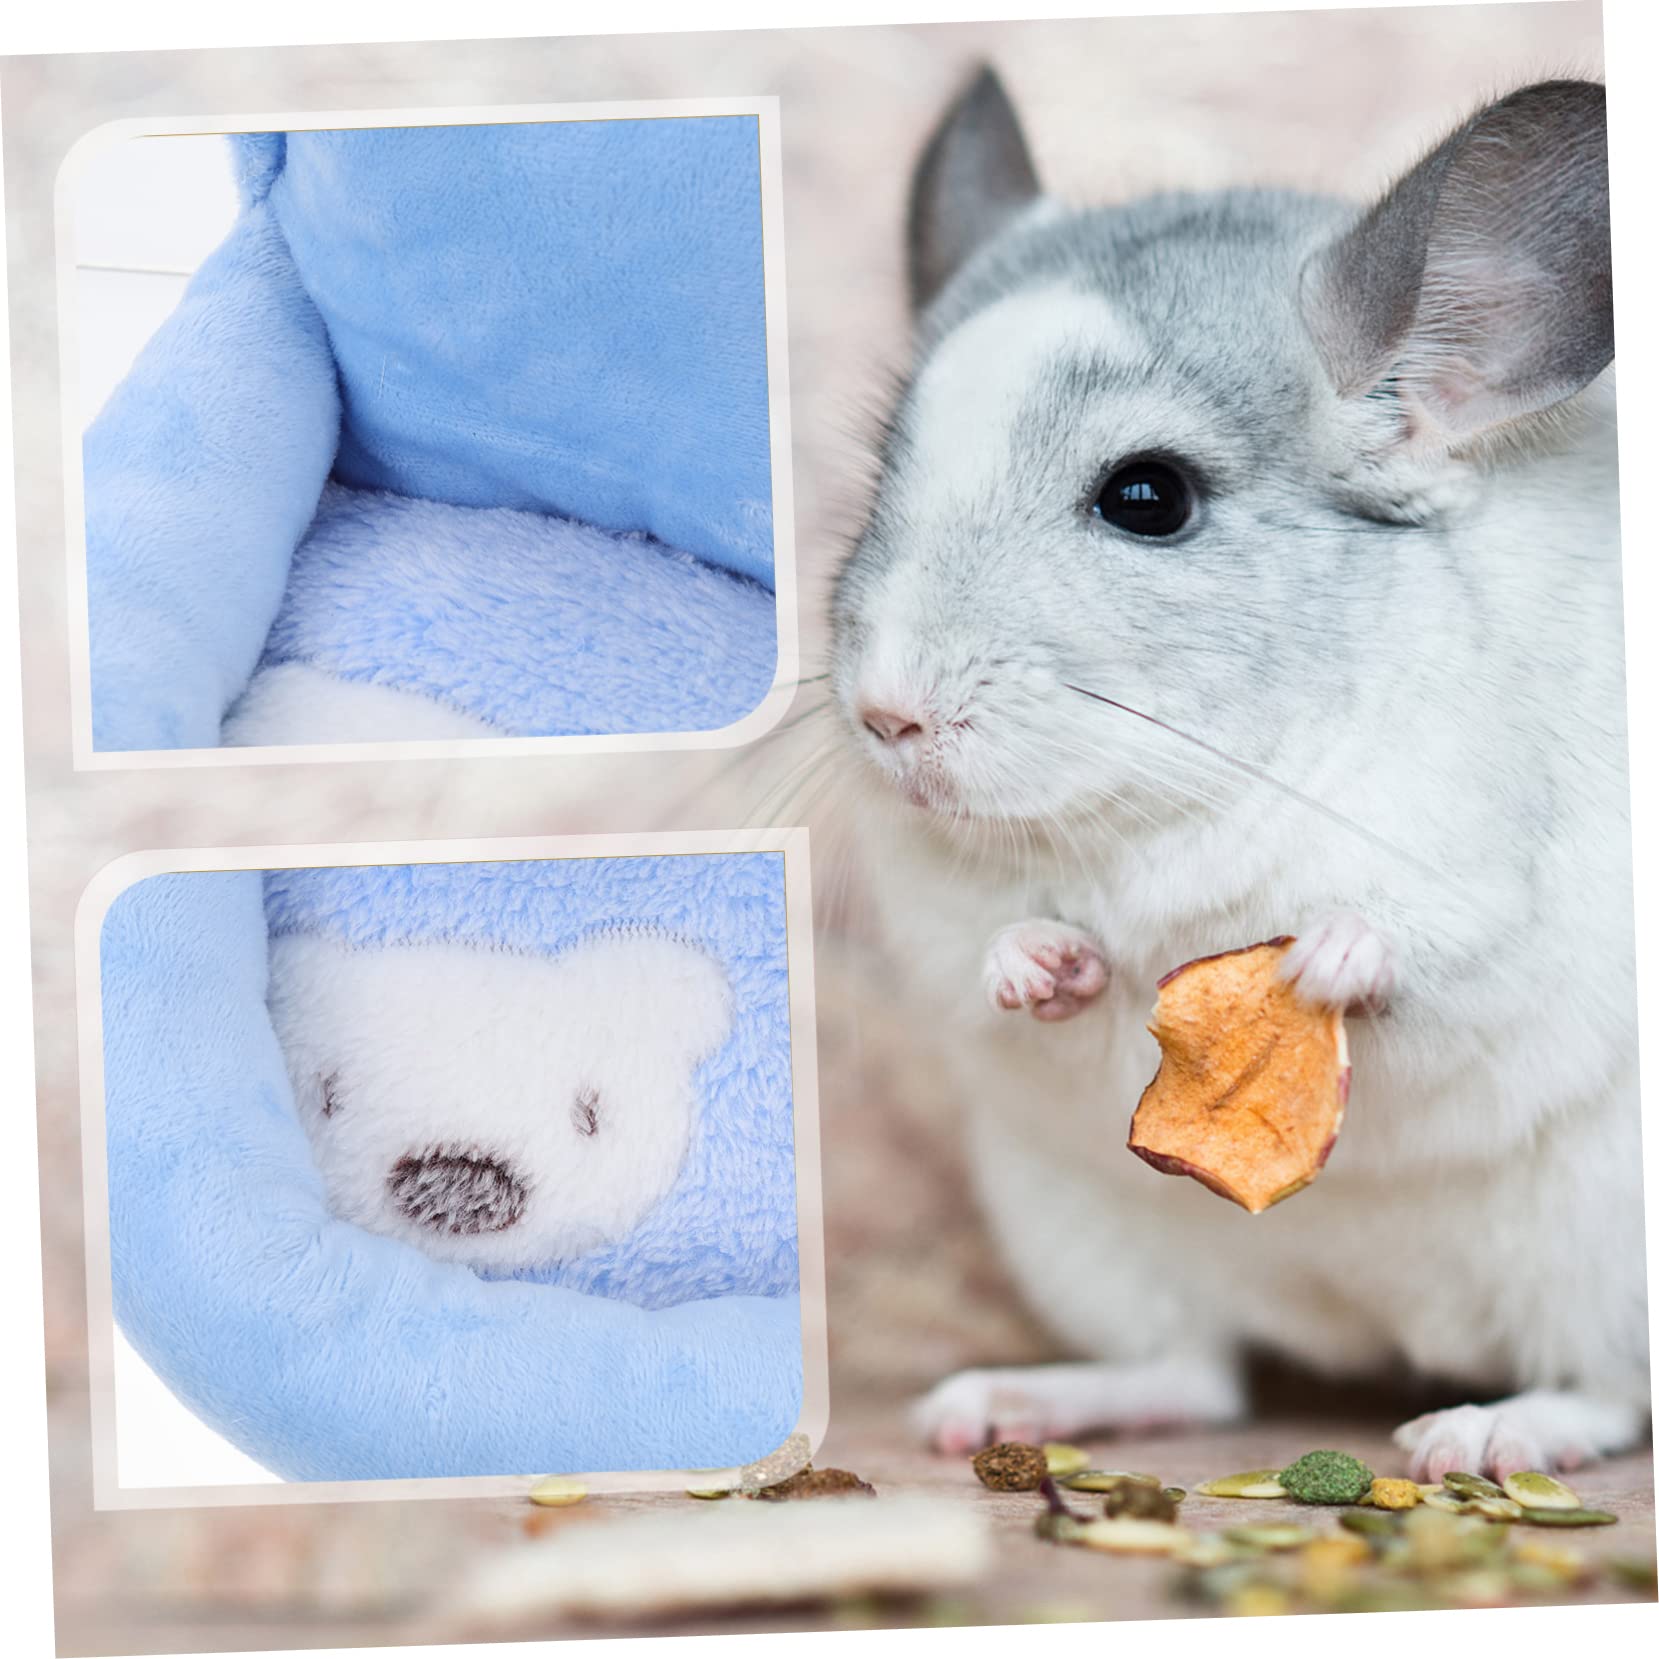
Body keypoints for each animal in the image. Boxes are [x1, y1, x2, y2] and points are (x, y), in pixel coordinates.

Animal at [831, 70, 1647, 1479]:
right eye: (890, 471)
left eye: (1147, 496)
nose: (887, 713)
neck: (1176, 802)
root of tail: (1388, 1332)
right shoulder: (938, 922)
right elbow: (988, 967)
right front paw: (1040, 965)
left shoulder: (1509, 904)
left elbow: (1443, 959)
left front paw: (1332, 955)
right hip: (1088, 1240)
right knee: (1197, 1378)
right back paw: (1003, 1403)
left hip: (1601, 1266)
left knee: (1605, 1395)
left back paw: (1481, 1433)